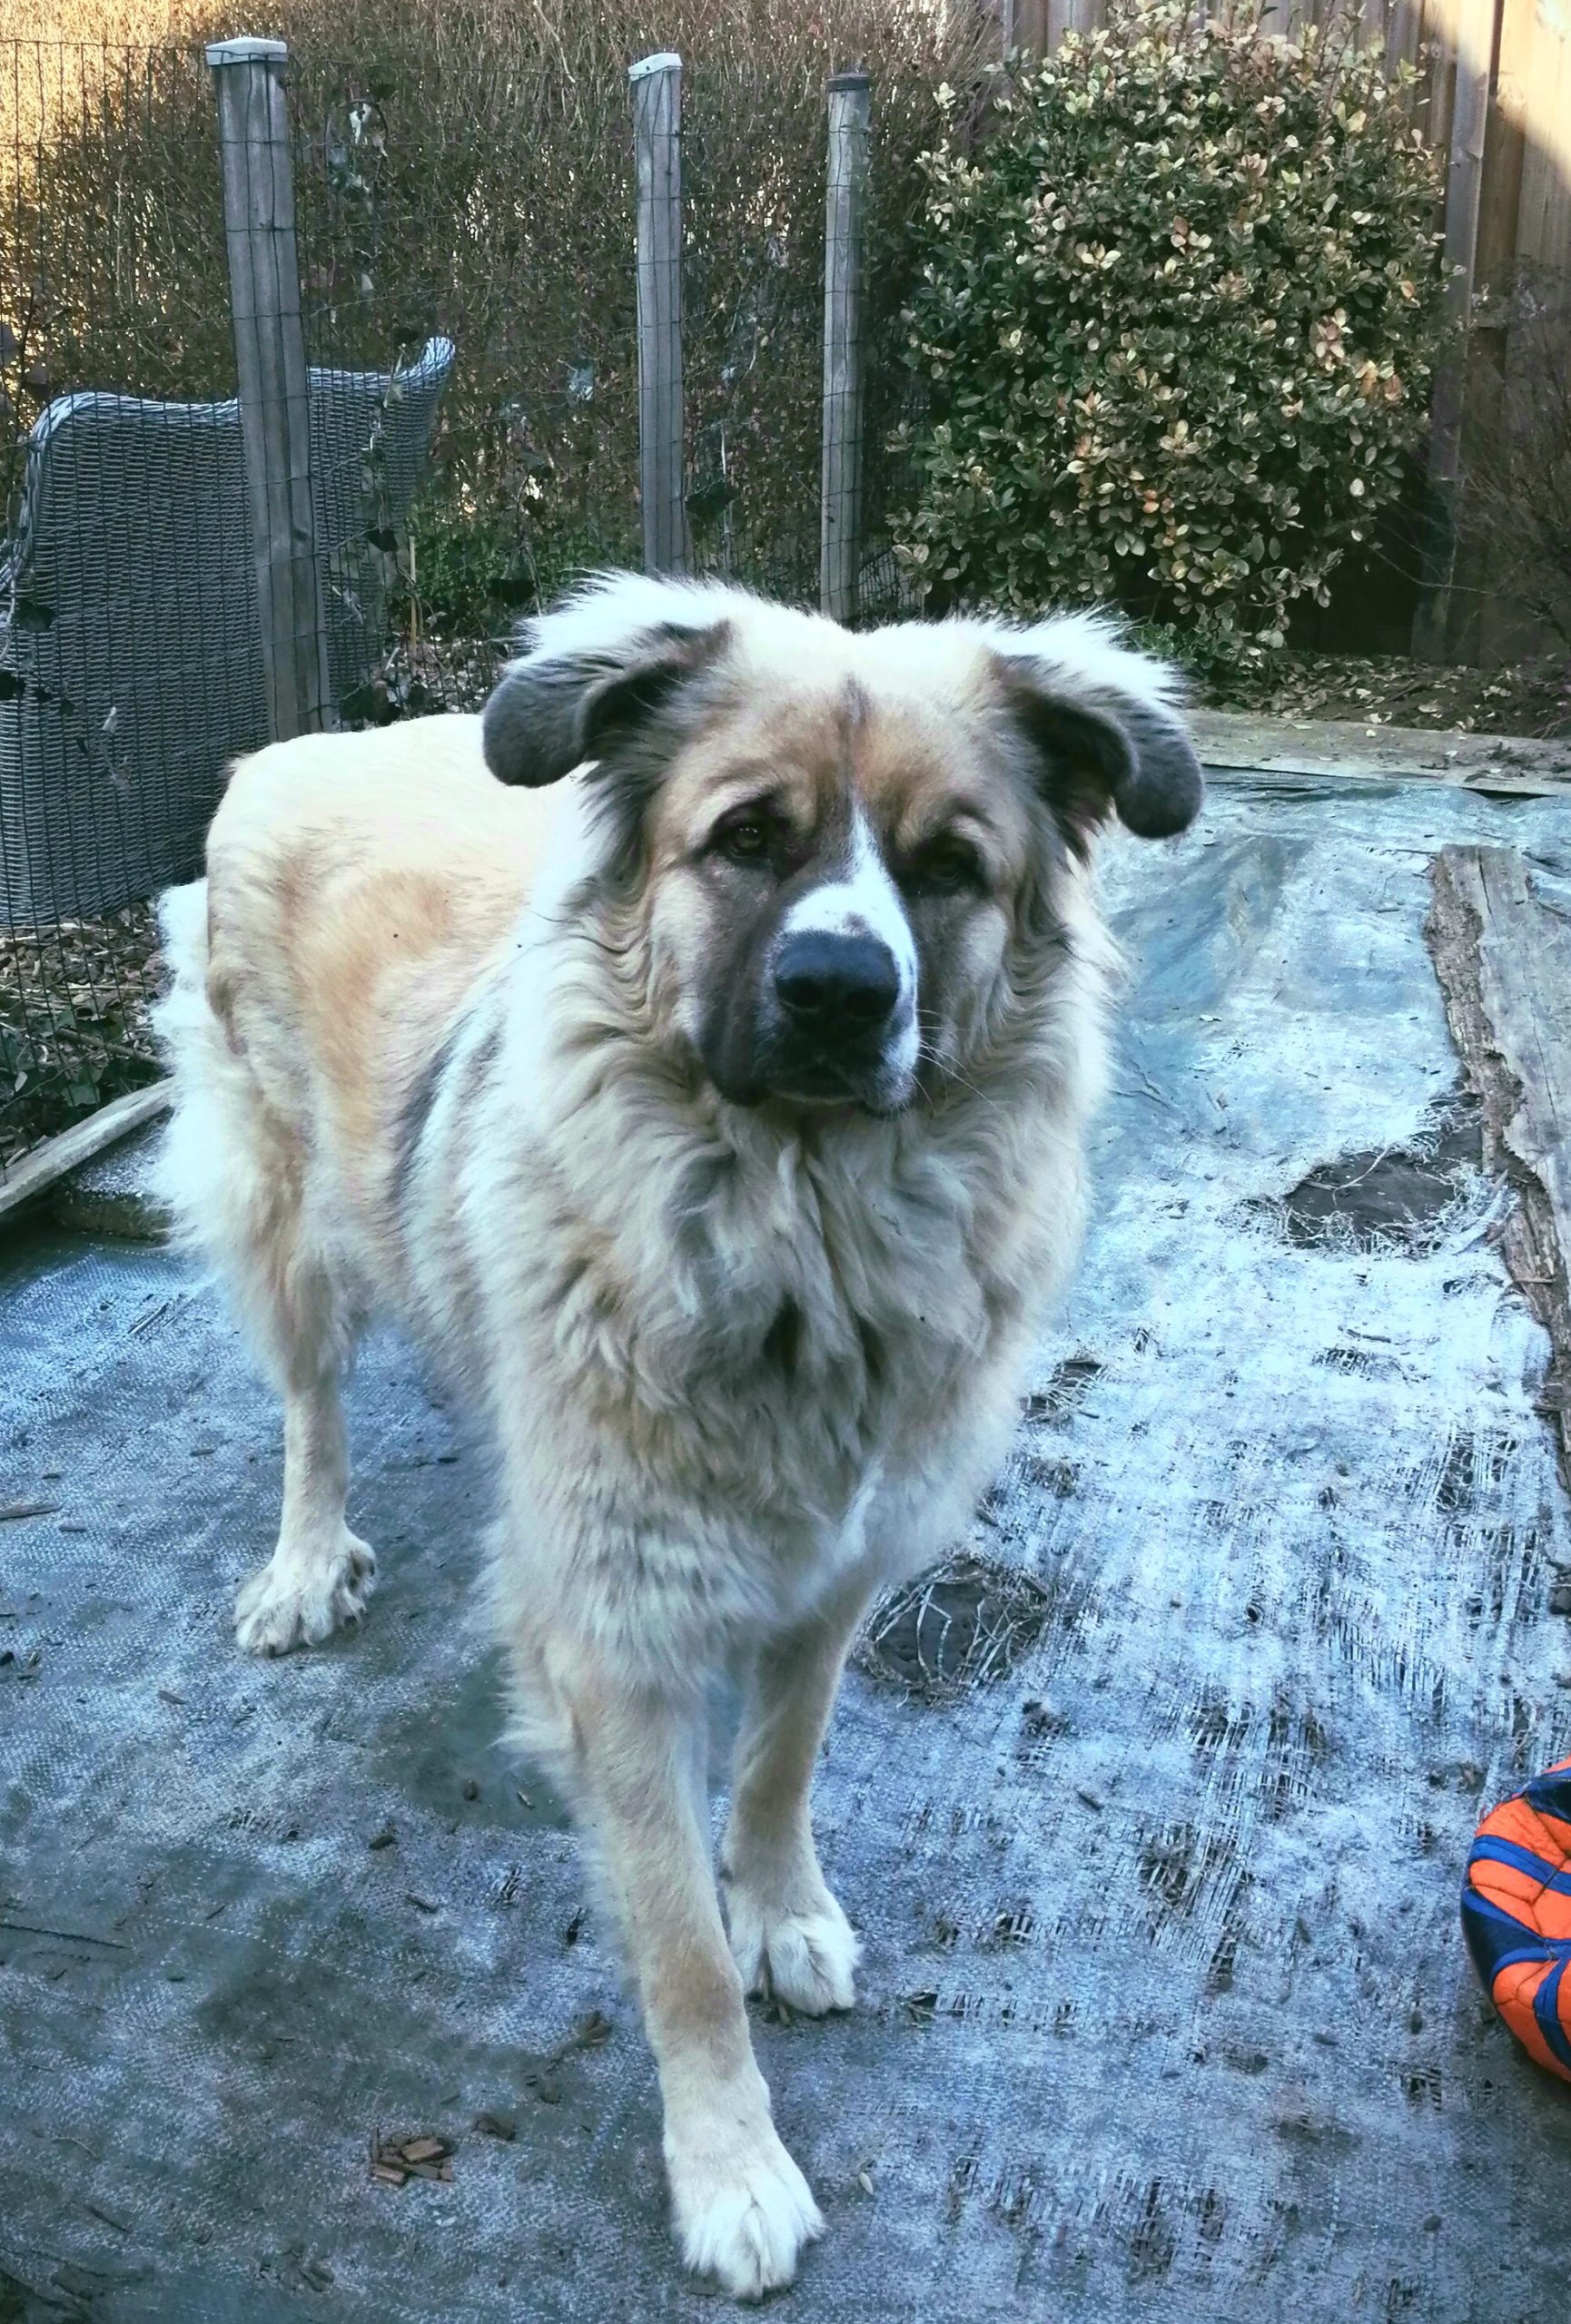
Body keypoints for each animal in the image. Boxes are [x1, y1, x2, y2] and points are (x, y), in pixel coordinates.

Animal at [154, 572, 1202, 2299]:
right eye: (746, 840)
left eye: (949, 870)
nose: (842, 993)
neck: (801, 1233)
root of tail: (299, 746)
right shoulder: (621, 1649)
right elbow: (676, 1952)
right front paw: (731, 2169)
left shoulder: (835, 1575)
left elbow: (779, 1770)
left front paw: (779, 1909)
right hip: (285, 1214)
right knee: (311, 1403)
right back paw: (306, 1561)